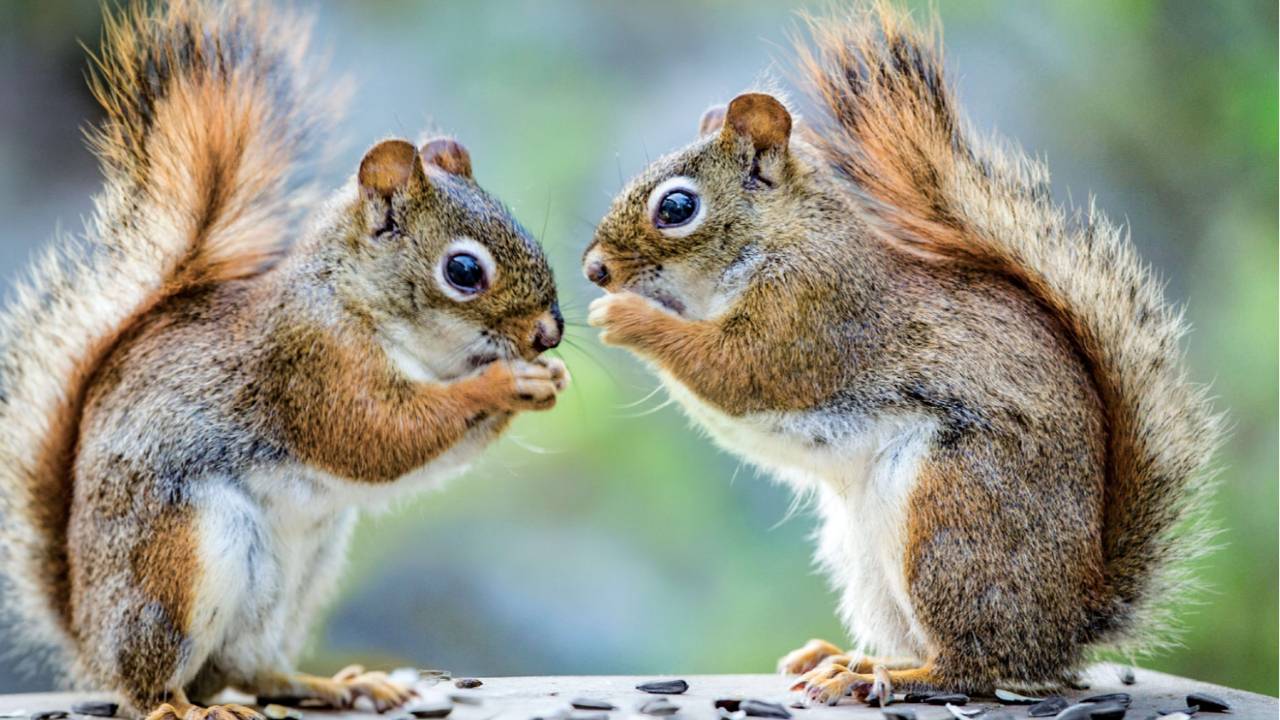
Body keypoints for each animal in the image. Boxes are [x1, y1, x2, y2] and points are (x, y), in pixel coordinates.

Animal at [0, 1, 568, 719]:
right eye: (464, 271)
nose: (549, 334)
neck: (358, 299)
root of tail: (86, 635)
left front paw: (548, 380)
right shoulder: (308, 363)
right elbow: (376, 435)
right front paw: (502, 383)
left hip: (295, 579)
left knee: (252, 668)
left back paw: (340, 684)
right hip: (179, 562)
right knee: (149, 685)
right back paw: (187, 705)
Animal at [584, 2, 1221, 701]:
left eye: (676, 206)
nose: (594, 270)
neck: (784, 236)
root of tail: (1070, 621)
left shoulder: (812, 315)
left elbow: (739, 371)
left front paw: (627, 317)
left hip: (950, 518)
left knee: (972, 665)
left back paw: (879, 676)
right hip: (863, 554)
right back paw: (844, 659)